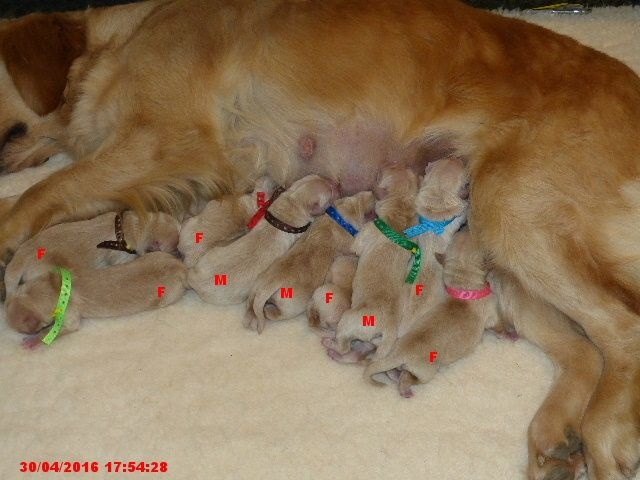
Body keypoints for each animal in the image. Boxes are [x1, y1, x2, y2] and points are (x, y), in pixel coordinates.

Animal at [245, 190, 374, 333]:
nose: (371, 193)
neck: (342, 217)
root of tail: (267, 286)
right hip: (291, 307)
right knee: (275, 314)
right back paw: (267, 311)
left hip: (255, 288)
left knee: (251, 305)